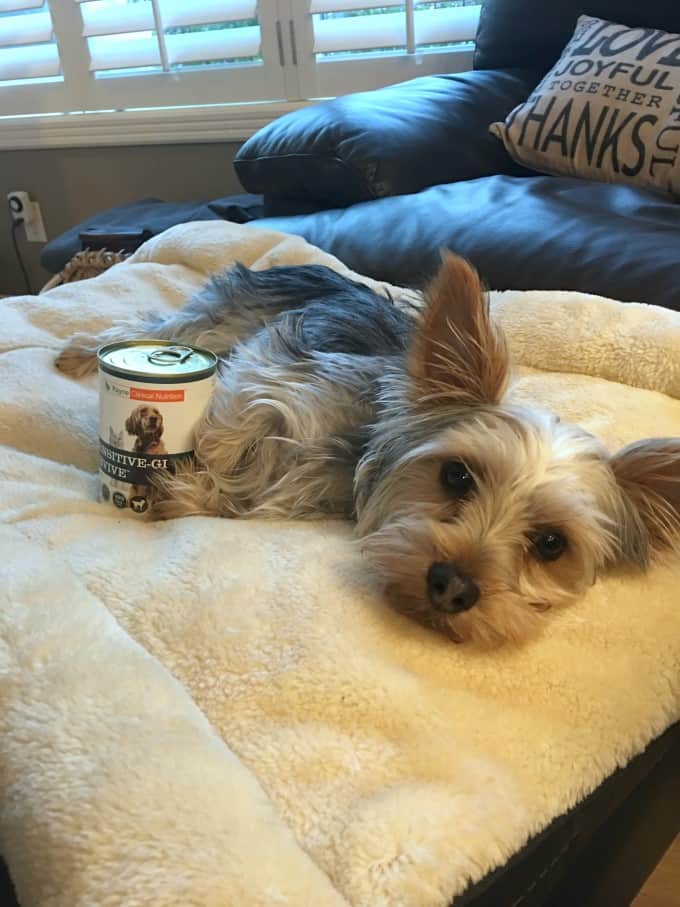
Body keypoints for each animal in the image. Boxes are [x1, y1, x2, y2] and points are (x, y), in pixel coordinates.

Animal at [57, 252, 680, 640]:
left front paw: (186, 491)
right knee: (164, 328)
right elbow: (228, 431)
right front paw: (178, 478)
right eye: (456, 475)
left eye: (552, 544)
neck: (352, 455)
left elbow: (246, 492)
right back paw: (83, 352)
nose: (452, 588)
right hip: (224, 318)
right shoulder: (274, 372)